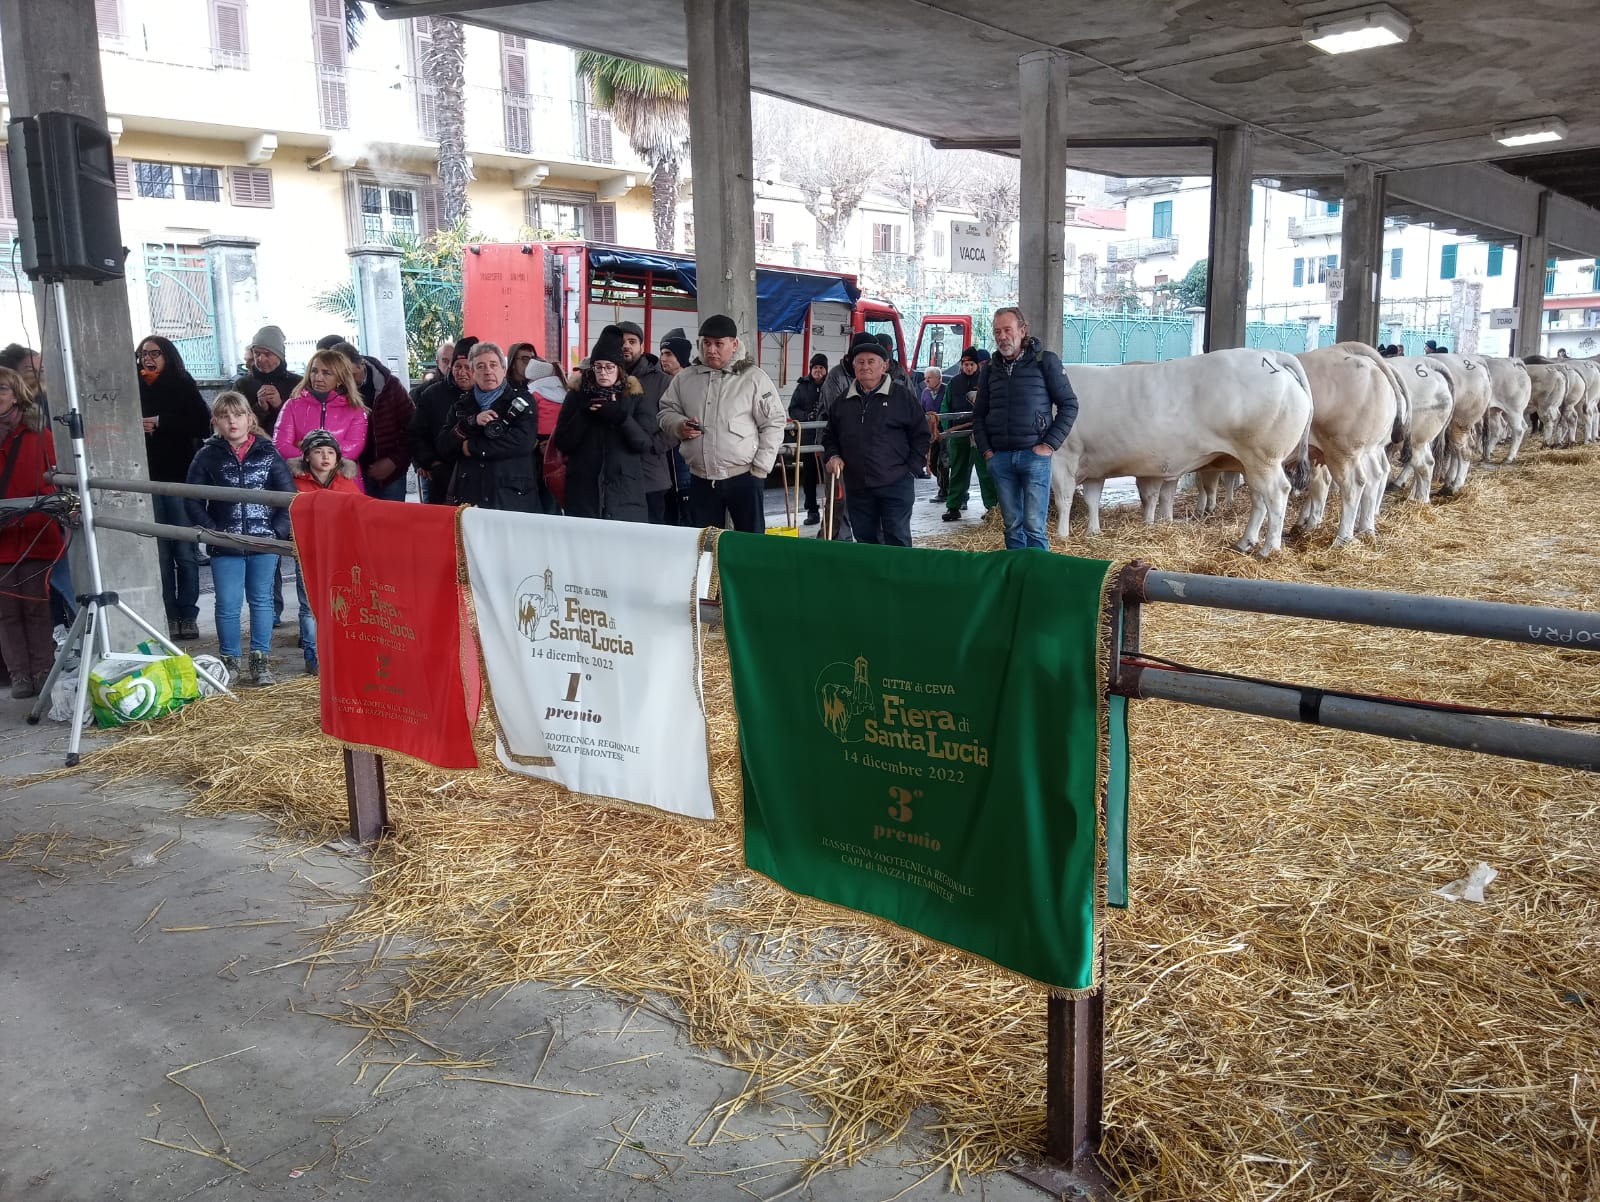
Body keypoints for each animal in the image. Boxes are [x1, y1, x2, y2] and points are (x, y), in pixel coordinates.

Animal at [1049, 347, 1312, 553]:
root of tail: (1268, 354)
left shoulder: (1062, 458)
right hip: (1251, 462)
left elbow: (1064, 499)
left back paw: (1269, 549)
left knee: (1277, 493)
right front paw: (1093, 532)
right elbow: (1092, 500)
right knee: (1259, 498)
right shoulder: (1094, 466)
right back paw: (1245, 542)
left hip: (1263, 456)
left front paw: (1061, 536)